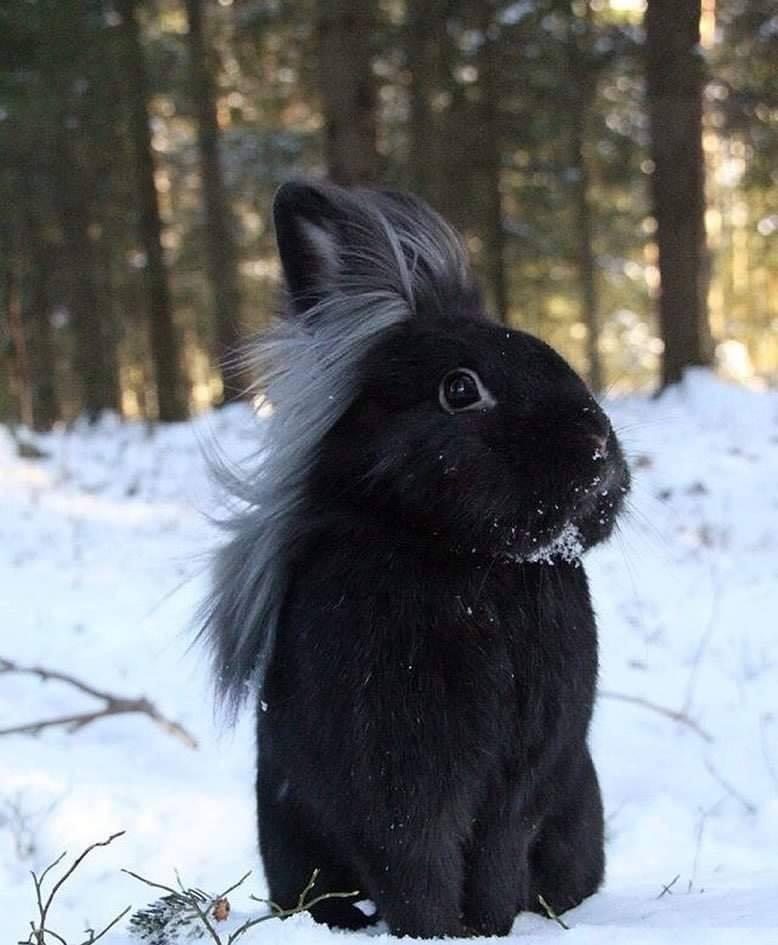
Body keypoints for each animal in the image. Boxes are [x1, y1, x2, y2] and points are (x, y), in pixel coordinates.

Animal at [200, 180, 630, 939]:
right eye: (460, 389)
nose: (598, 450)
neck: (473, 566)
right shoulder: (396, 775)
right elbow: (415, 861)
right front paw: (435, 931)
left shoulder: (520, 779)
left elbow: (494, 854)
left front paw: (489, 929)